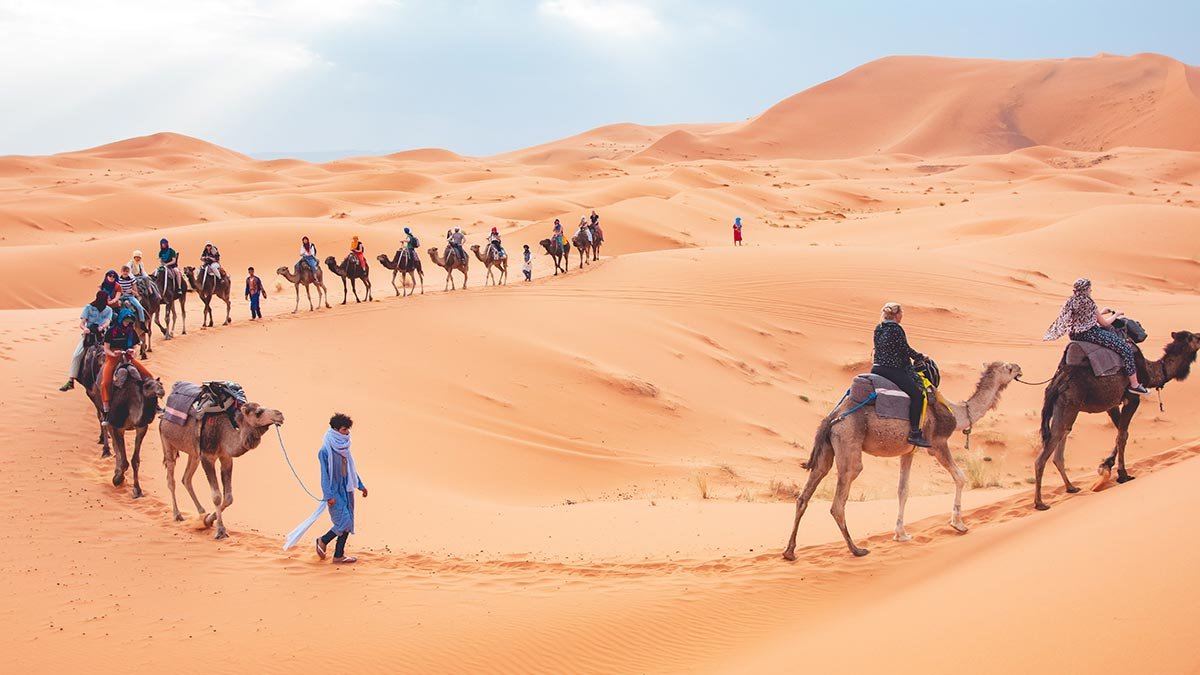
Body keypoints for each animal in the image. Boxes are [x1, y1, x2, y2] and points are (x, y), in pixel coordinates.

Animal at [782, 362, 1027, 557]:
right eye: (1007, 367)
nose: (1019, 367)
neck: (957, 413)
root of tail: (832, 417)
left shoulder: (908, 451)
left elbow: (903, 490)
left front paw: (901, 534)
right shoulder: (937, 443)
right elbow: (960, 476)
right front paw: (958, 524)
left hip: (827, 449)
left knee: (805, 494)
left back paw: (790, 552)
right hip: (849, 440)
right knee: (839, 501)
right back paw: (856, 550)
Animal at [1032, 329, 1200, 506]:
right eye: (1194, 337)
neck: (1150, 372)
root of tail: (1056, 382)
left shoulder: (1111, 404)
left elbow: (1120, 433)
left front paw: (1106, 466)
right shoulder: (1132, 398)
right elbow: (1122, 435)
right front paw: (1122, 474)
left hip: (1065, 408)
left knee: (1061, 439)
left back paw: (1071, 488)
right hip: (1068, 405)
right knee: (1048, 448)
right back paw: (1040, 503)